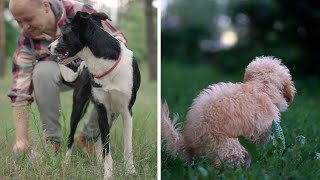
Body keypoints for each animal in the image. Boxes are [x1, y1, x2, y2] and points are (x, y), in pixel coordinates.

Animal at [48, 11, 141, 179]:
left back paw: (98, 163)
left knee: (98, 140)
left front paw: (131, 171)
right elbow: (106, 147)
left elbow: (127, 146)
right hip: (79, 109)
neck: (104, 63)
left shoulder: (126, 111)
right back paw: (66, 164)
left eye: (63, 35)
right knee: (72, 138)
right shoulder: (102, 108)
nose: (48, 47)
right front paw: (108, 174)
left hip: (112, 114)